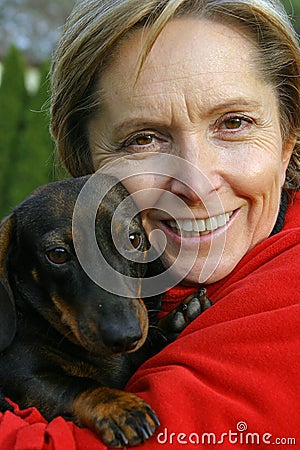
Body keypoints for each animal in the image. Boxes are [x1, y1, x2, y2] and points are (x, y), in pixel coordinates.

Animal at [0, 175, 211, 446]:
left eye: (133, 239)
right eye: (57, 255)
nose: (125, 337)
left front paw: (178, 319)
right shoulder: (20, 373)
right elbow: (77, 385)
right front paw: (119, 406)